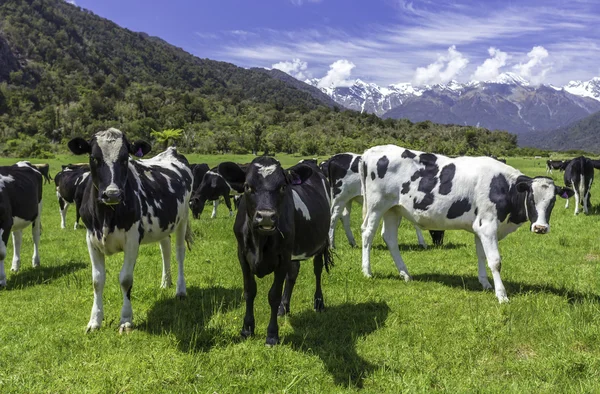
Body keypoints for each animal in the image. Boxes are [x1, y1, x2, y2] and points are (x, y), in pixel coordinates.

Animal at [69, 129, 193, 332]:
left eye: (125, 158)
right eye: (94, 157)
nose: (112, 194)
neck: (106, 216)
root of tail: (171, 150)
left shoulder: (133, 239)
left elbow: (125, 279)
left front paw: (126, 320)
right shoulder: (91, 239)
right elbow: (97, 280)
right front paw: (94, 321)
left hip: (182, 218)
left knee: (179, 253)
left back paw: (180, 290)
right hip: (164, 224)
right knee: (165, 249)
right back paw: (165, 282)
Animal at [219, 157, 332, 344]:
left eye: (283, 187)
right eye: (248, 186)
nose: (265, 216)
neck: (260, 242)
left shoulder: (283, 257)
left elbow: (273, 295)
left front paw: (272, 335)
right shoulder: (242, 255)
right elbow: (249, 291)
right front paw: (247, 329)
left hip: (321, 241)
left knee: (317, 269)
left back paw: (318, 302)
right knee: (293, 273)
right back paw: (283, 307)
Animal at [358, 146, 576, 304]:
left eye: (552, 201)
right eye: (531, 198)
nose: (540, 228)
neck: (504, 187)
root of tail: (370, 151)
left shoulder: (480, 228)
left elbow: (482, 255)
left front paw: (485, 284)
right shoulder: (487, 226)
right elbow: (495, 261)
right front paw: (502, 295)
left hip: (394, 209)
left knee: (389, 238)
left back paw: (405, 274)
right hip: (377, 205)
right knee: (368, 233)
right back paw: (367, 272)